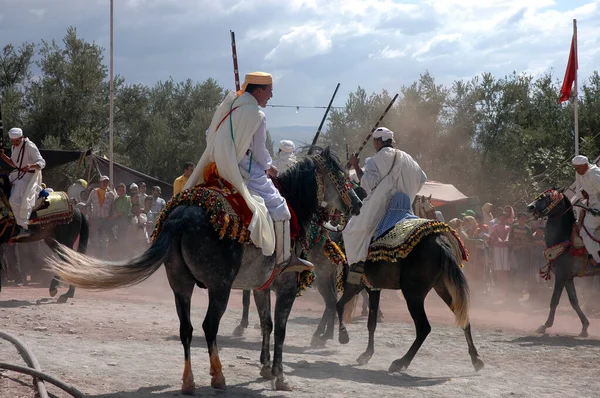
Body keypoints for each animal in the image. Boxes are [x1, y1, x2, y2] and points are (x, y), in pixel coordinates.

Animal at [45, 148, 360, 394]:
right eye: (342, 175)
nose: (357, 204)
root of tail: (182, 216)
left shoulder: (261, 286)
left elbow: (267, 324)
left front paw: (265, 367)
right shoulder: (286, 286)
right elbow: (280, 329)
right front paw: (279, 376)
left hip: (180, 286)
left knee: (186, 328)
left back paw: (189, 382)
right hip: (220, 288)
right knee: (209, 326)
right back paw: (218, 376)